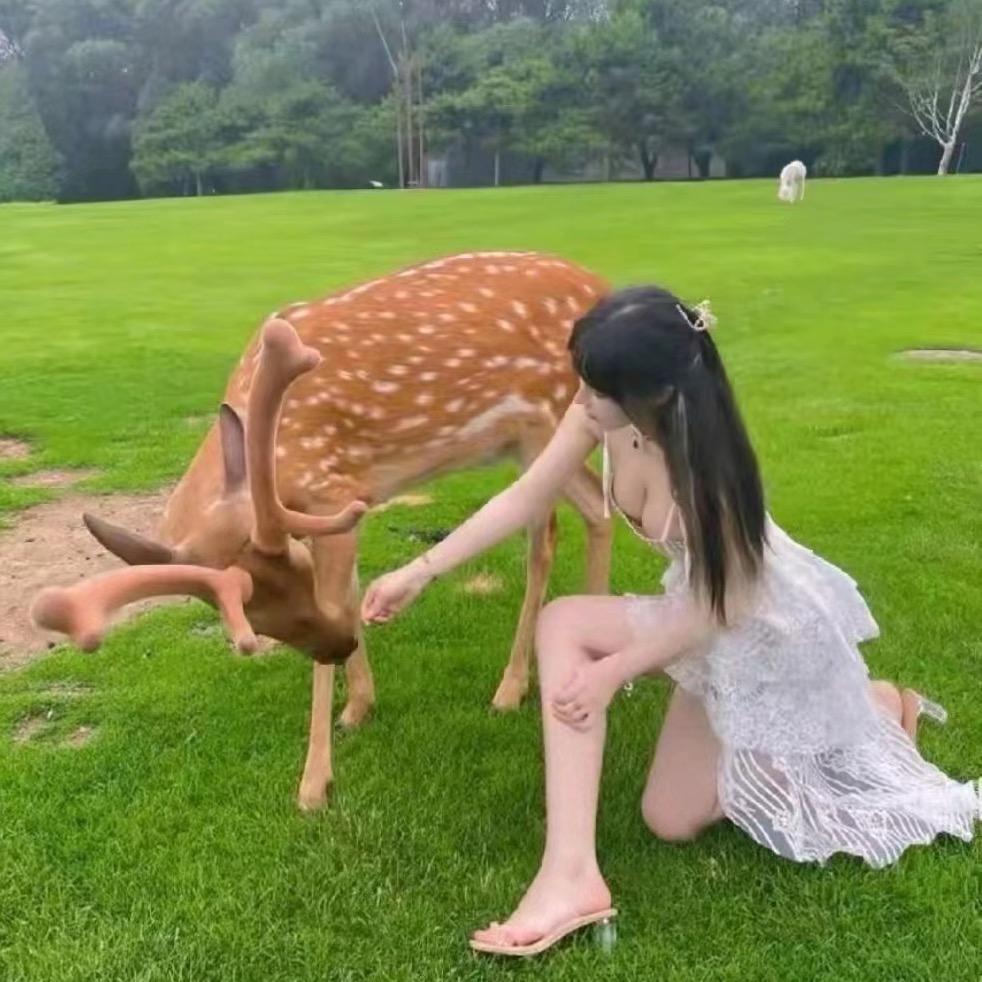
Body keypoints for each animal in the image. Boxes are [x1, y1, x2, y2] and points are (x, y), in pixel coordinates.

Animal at [30, 251, 614, 810]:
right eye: (253, 624)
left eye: (298, 573)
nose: (338, 644)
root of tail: (600, 282)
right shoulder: (331, 510)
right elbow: (351, 594)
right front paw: (359, 706)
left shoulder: (332, 493)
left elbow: (339, 598)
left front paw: (313, 783)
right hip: (522, 443)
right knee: (559, 525)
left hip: (554, 421)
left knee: (586, 516)